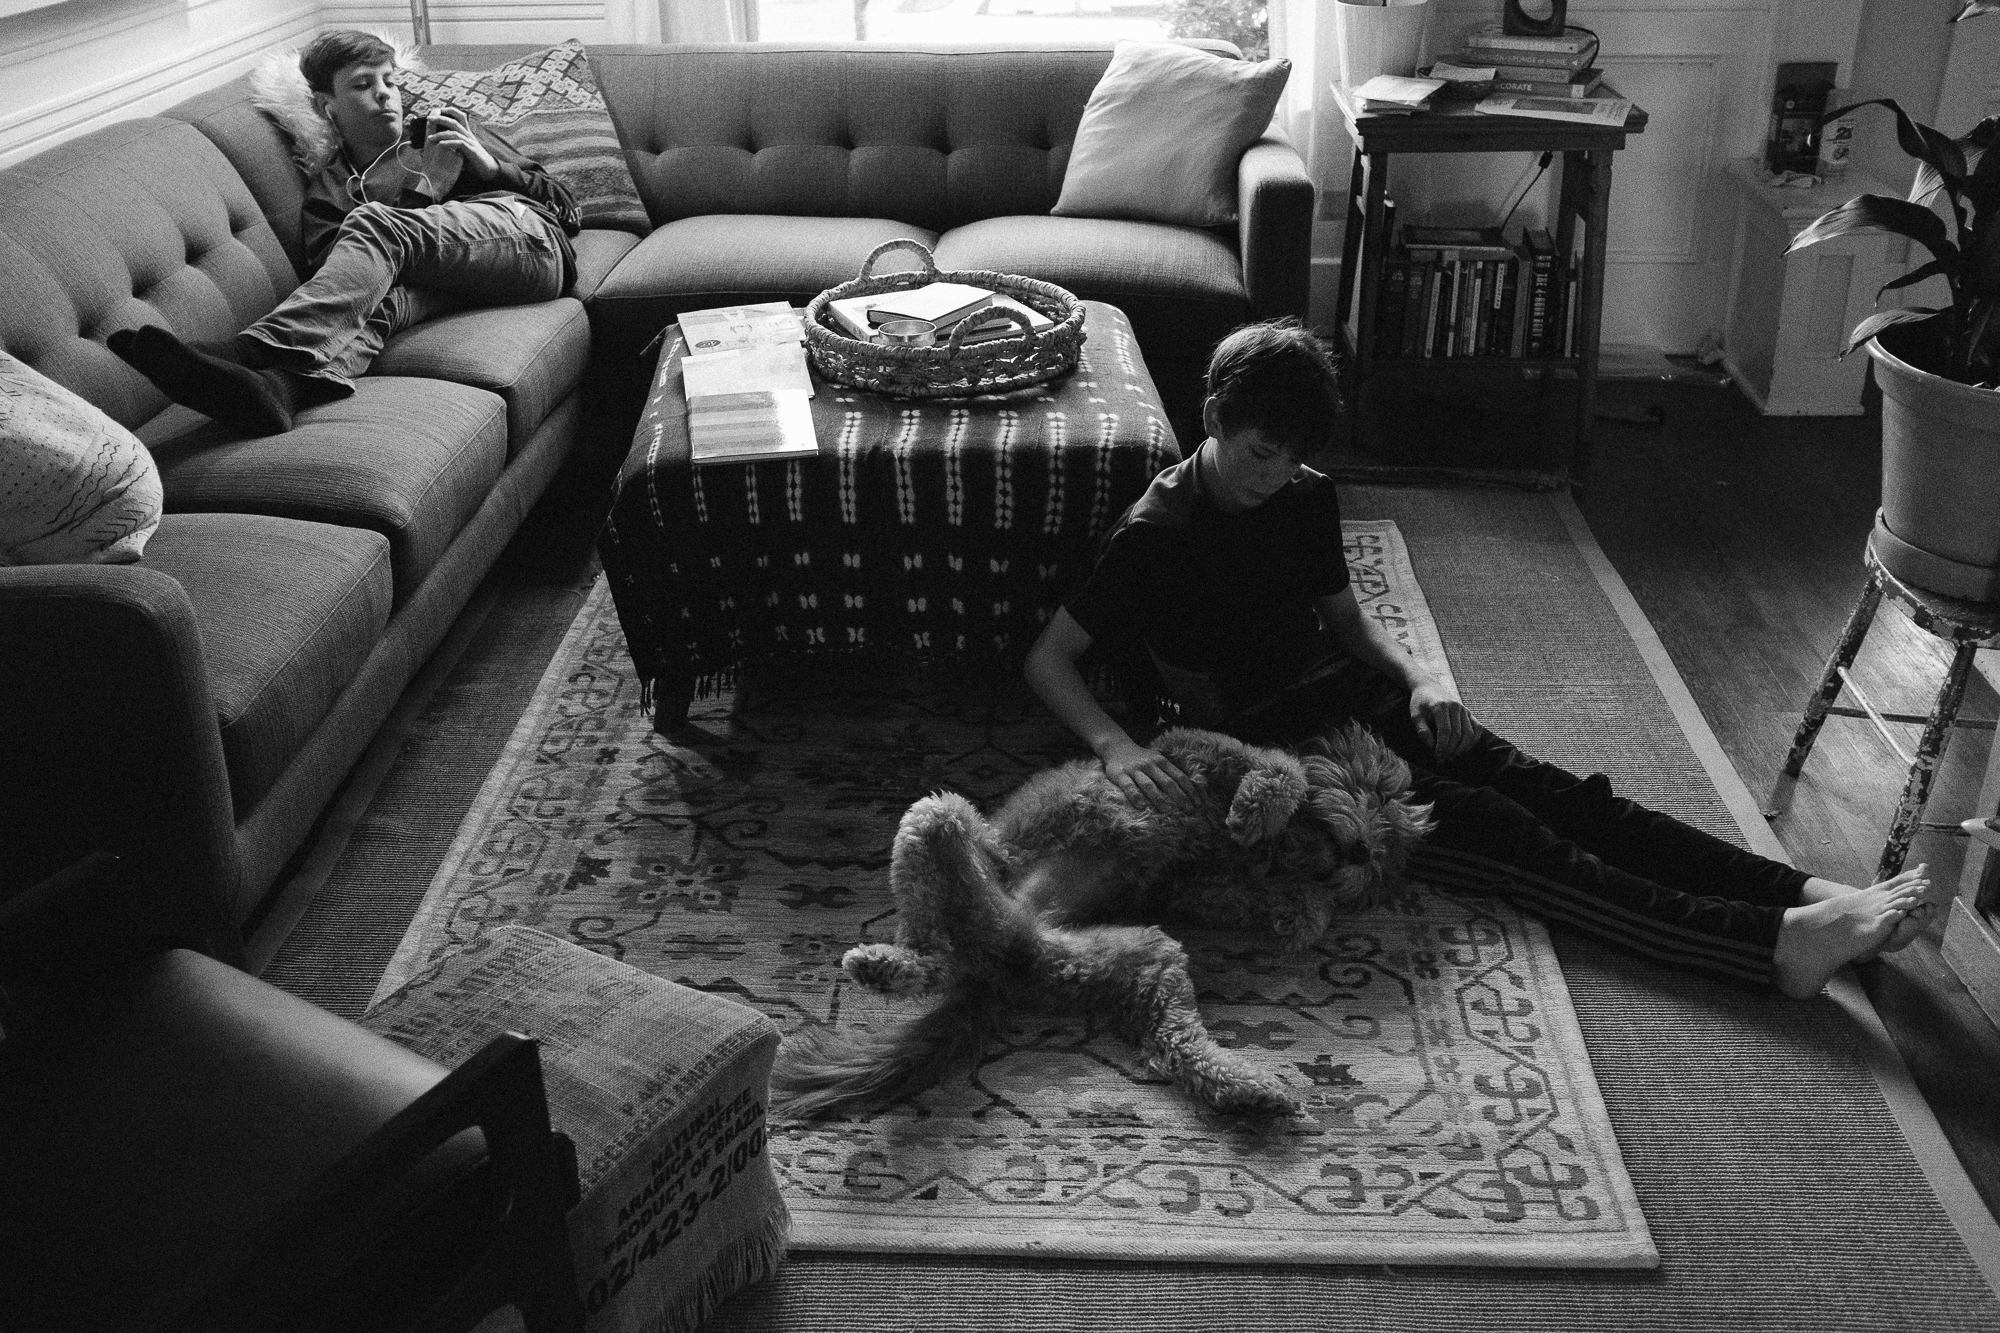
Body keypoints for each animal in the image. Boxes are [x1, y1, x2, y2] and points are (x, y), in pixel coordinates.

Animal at [768, 720, 1440, 1112]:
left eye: (1392, 852)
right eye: (1376, 795)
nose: (1364, 855)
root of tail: (1014, 943)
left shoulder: (1197, 889)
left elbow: (1264, 890)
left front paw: (1303, 910)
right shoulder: (1199, 757)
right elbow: (1282, 769)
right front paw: (1259, 809)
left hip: (1139, 952)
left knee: (1177, 1042)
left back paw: (1251, 1089)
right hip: (940, 821)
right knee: (929, 938)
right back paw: (885, 965)